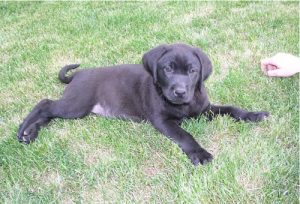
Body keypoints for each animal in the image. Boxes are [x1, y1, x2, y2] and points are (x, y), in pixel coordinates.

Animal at [17, 43, 268, 166]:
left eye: (192, 71)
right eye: (167, 69)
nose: (180, 92)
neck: (184, 105)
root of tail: (79, 74)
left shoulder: (203, 110)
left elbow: (231, 109)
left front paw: (253, 115)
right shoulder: (162, 121)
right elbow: (185, 135)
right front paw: (200, 153)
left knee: (48, 113)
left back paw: (30, 133)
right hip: (77, 105)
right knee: (45, 104)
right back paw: (23, 130)